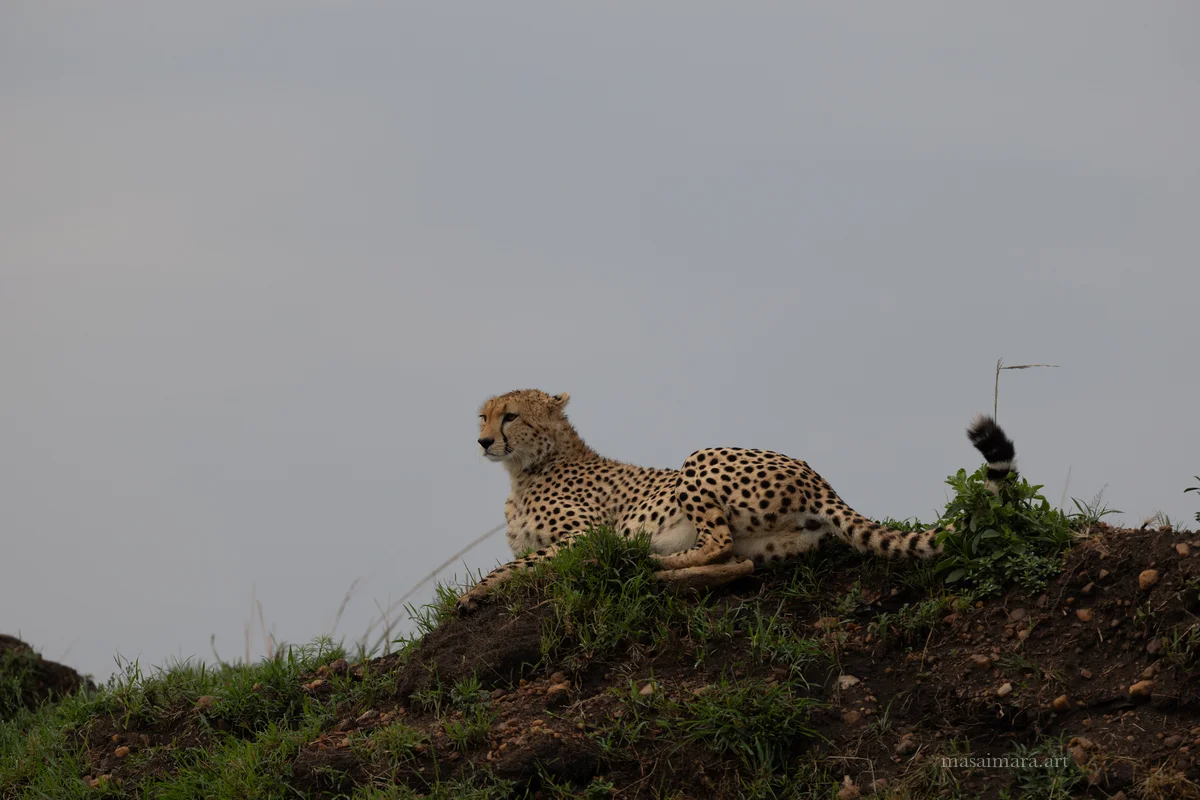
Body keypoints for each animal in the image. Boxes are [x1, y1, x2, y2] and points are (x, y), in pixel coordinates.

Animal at [457, 388, 1018, 611]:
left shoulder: (584, 534)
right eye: (482, 416)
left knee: (716, 542)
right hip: (772, 544)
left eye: (510, 416)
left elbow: (515, 566)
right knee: (734, 558)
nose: (481, 441)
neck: (526, 468)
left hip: (699, 457)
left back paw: (646, 560)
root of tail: (820, 479)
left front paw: (473, 595)